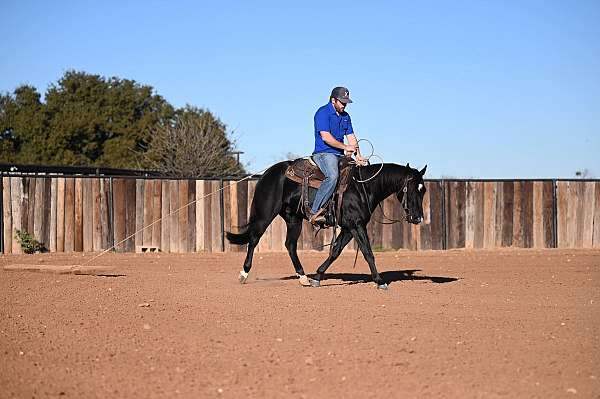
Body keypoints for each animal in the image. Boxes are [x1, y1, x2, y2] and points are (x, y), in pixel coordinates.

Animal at [225, 160, 426, 290]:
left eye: (423, 190)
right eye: (411, 189)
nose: (418, 218)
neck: (362, 187)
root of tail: (267, 173)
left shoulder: (349, 227)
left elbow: (335, 251)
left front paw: (318, 276)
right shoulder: (356, 225)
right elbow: (368, 253)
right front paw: (379, 281)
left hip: (293, 219)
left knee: (290, 245)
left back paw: (303, 277)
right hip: (265, 215)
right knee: (253, 239)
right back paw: (243, 274)